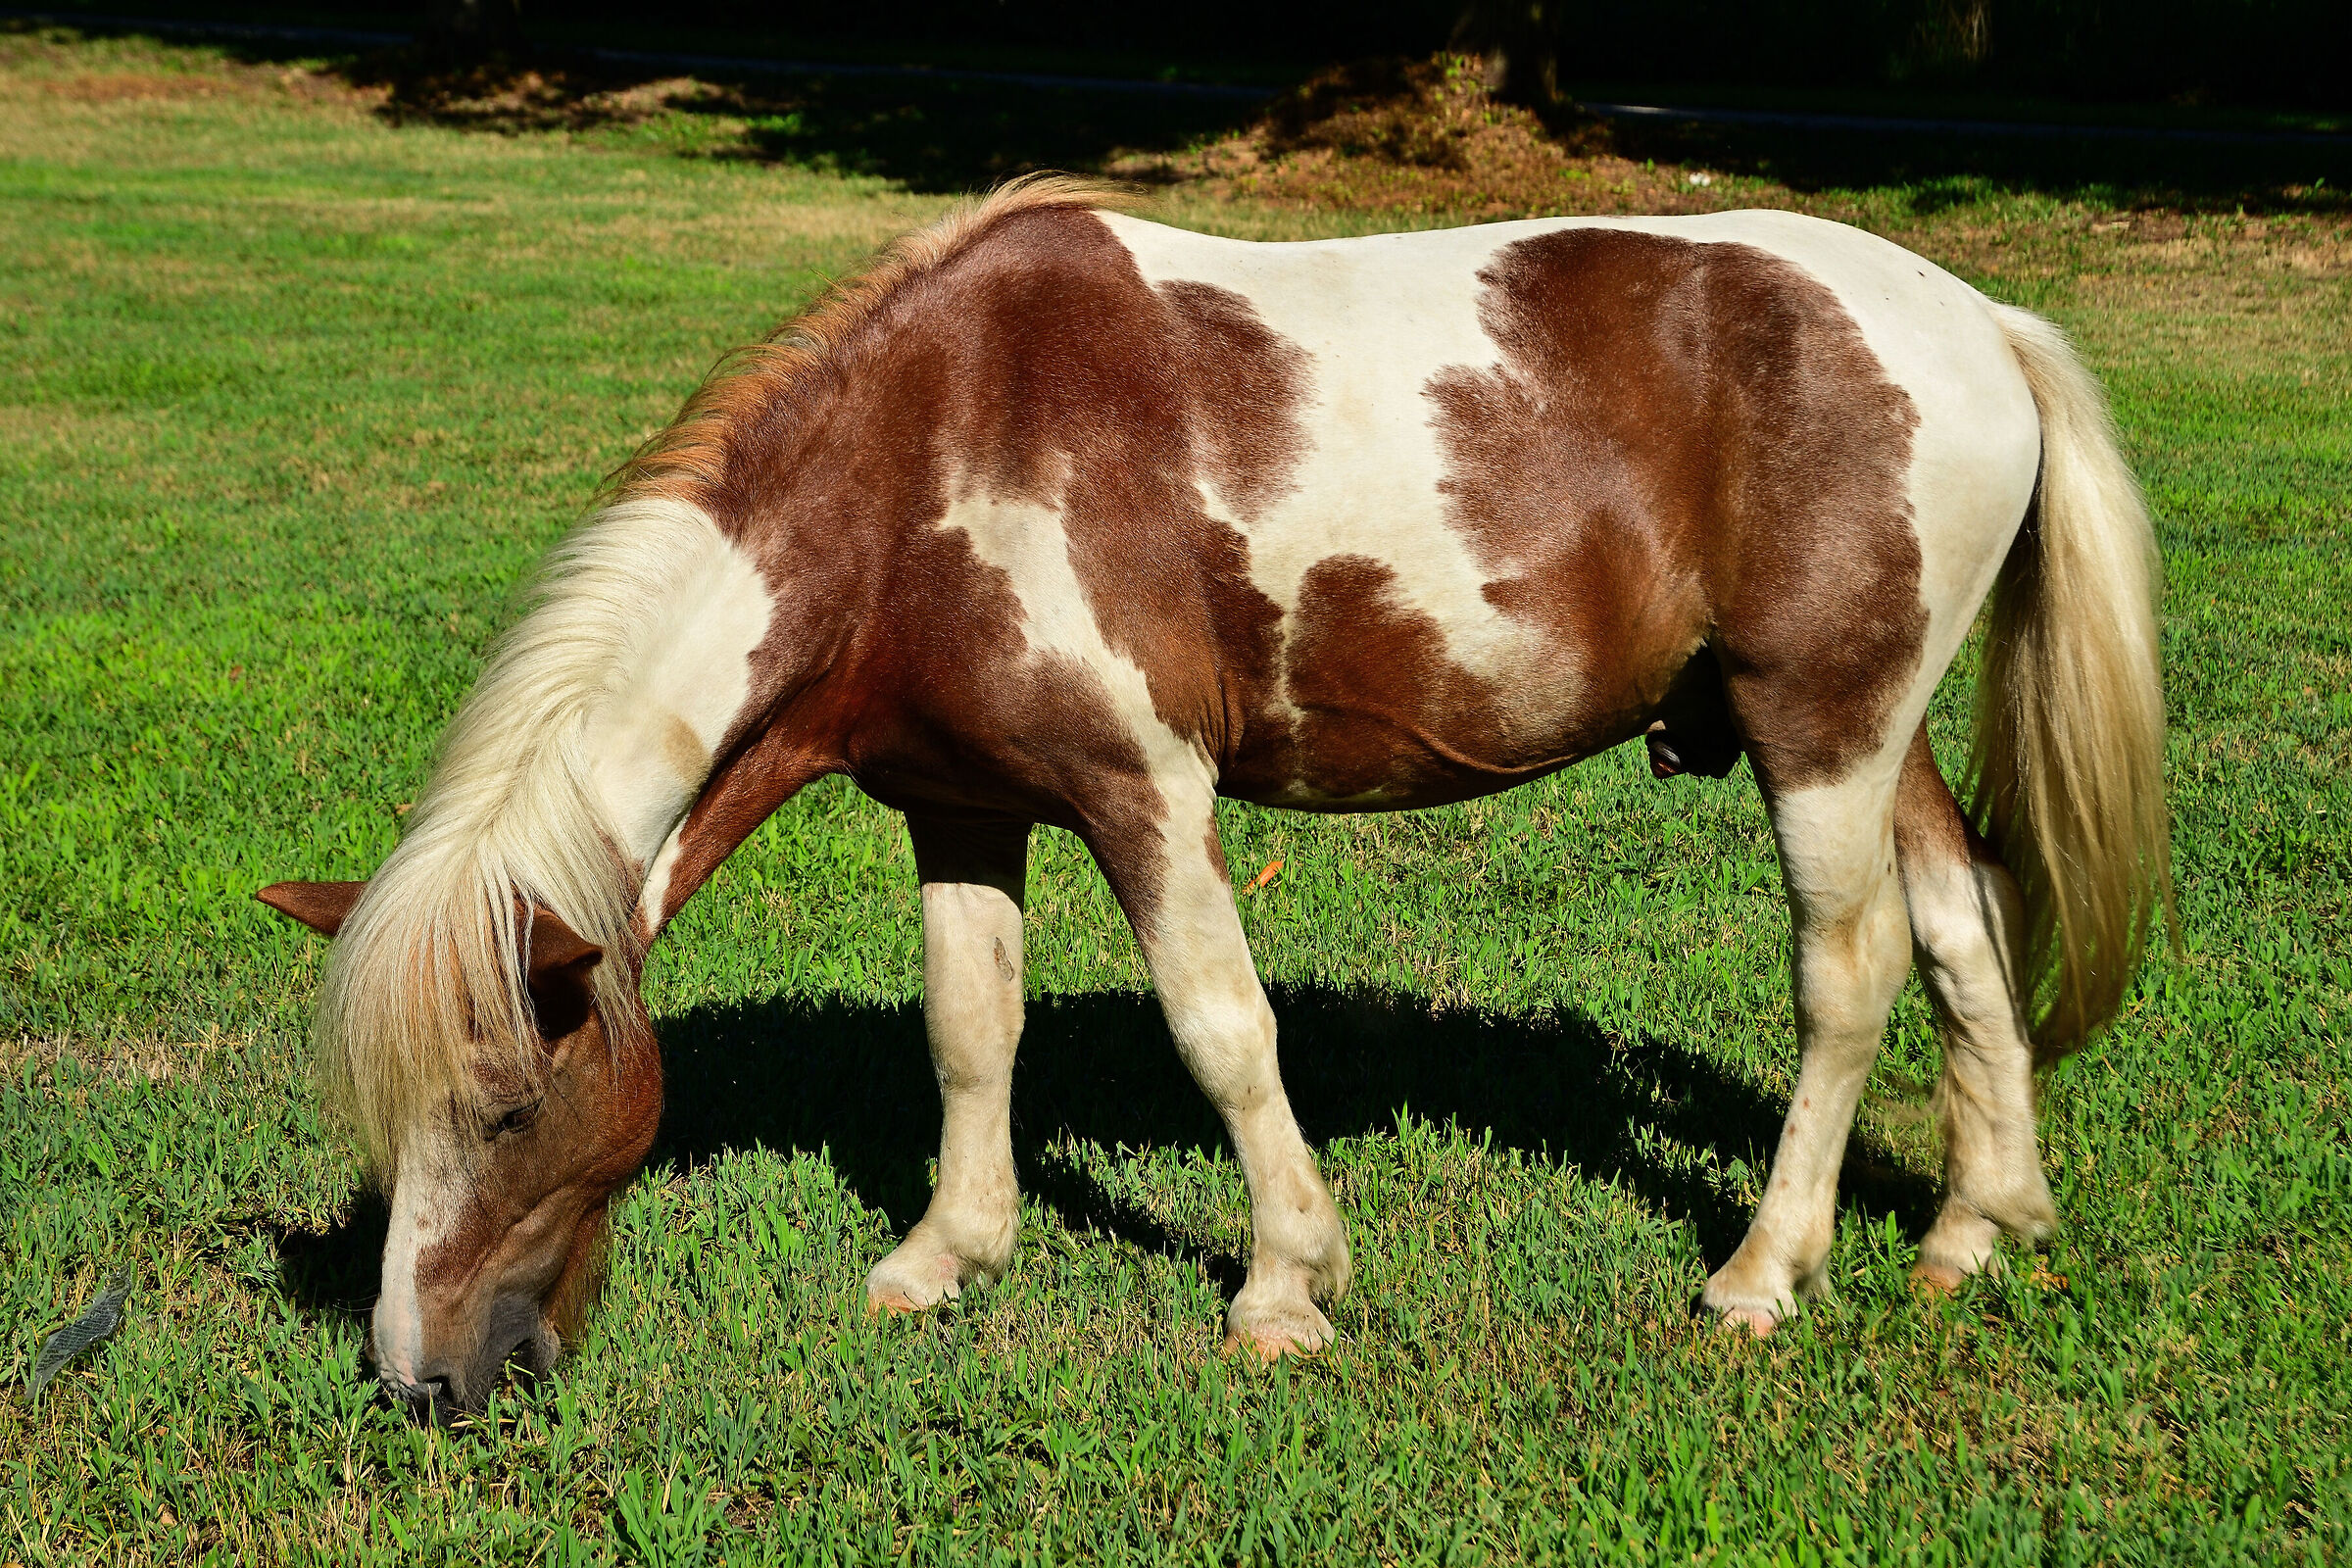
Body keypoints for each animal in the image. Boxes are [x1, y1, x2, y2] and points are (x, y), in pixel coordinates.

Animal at [257, 176, 2172, 1416]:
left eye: (511, 1109)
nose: (419, 1385)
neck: (933, 460)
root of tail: (1980, 323)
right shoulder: (959, 806)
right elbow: (971, 1029)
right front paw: (948, 1255)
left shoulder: (1145, 793)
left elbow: (1222, 1030)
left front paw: (1284, 1286)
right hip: (1872, 733)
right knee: (1963, 931)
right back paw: (1977, 1229)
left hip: (1819, 730)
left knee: (1847, 979)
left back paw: (1766, 1275)